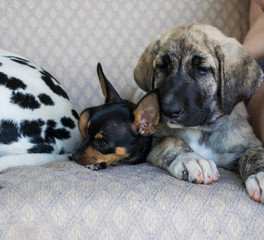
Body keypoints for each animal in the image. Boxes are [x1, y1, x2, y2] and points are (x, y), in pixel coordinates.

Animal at [134, 23, 264, 202]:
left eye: (202, 69)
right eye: (162, 67)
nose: (168, 110)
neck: (200, 129)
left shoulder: (246, 144)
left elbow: (254, 153)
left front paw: (260, 174)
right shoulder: (147, 139)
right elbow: (171, 140)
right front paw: (192, 158)